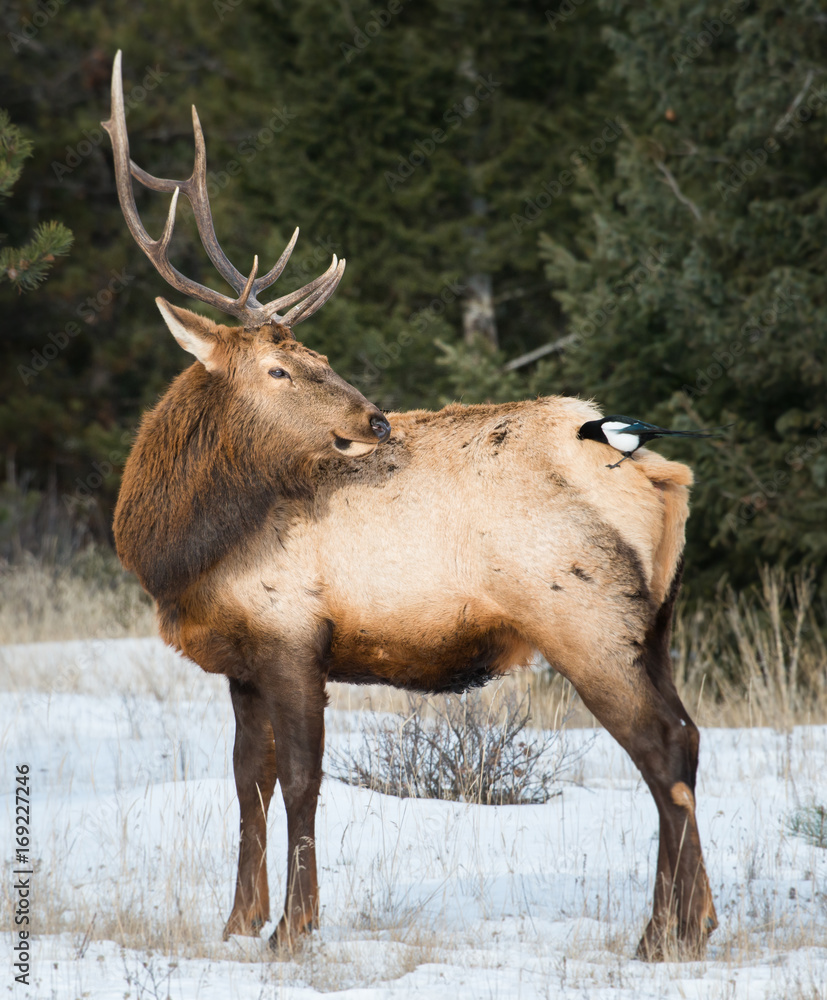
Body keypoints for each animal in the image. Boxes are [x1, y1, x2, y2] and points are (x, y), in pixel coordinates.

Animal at [104, 52, 717, 962]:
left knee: (663, 748)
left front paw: (293, 928)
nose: (375, 419)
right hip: (657, 624)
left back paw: (661, 936)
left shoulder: (295, 634)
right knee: (689, 737)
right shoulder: (243, 657)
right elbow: (248, 783)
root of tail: (660, 472)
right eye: (280, 369)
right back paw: (694, 922)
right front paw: (238, 921)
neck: (181, 554)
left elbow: (300, 782)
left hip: (587, 618)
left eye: (316, 355)